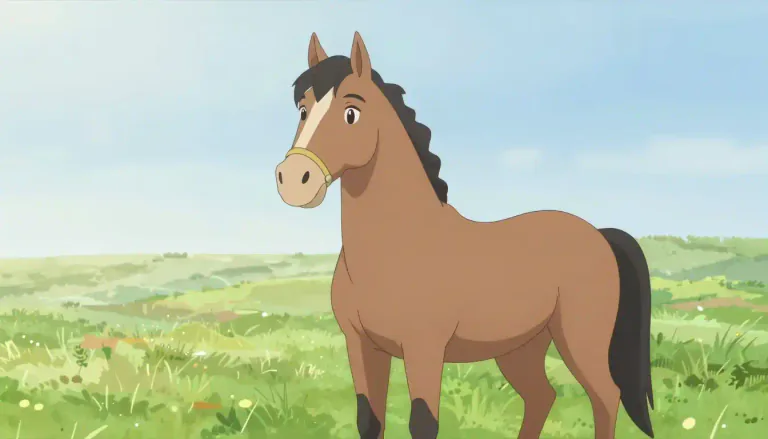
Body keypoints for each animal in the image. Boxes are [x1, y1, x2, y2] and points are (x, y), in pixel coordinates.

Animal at [274, 32, 655, 439]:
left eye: (351, 112)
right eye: (302, 109)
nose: (294, 180)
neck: (397, 246)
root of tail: (598, 234)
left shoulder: (424, 348)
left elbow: (423, 422)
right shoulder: (361, 345)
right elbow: (370, 420)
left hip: (581, 343)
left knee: (605, 397)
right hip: (521, 347)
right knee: (542, 397)